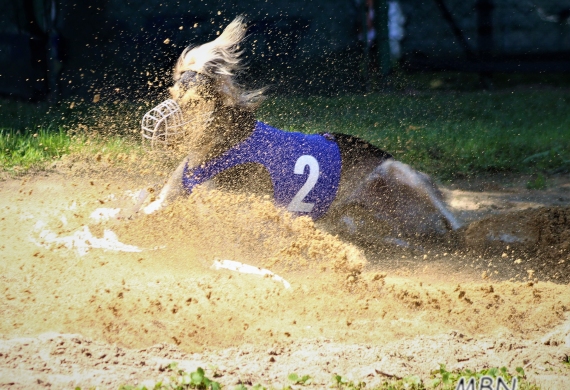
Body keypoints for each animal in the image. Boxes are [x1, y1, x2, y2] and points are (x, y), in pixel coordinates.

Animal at [140, 17, 460, 247]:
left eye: (192, 102)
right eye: (171, 93)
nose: (155, 127)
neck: (221, 142)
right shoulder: (167, 200)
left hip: (397, 172)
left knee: (452, 223)